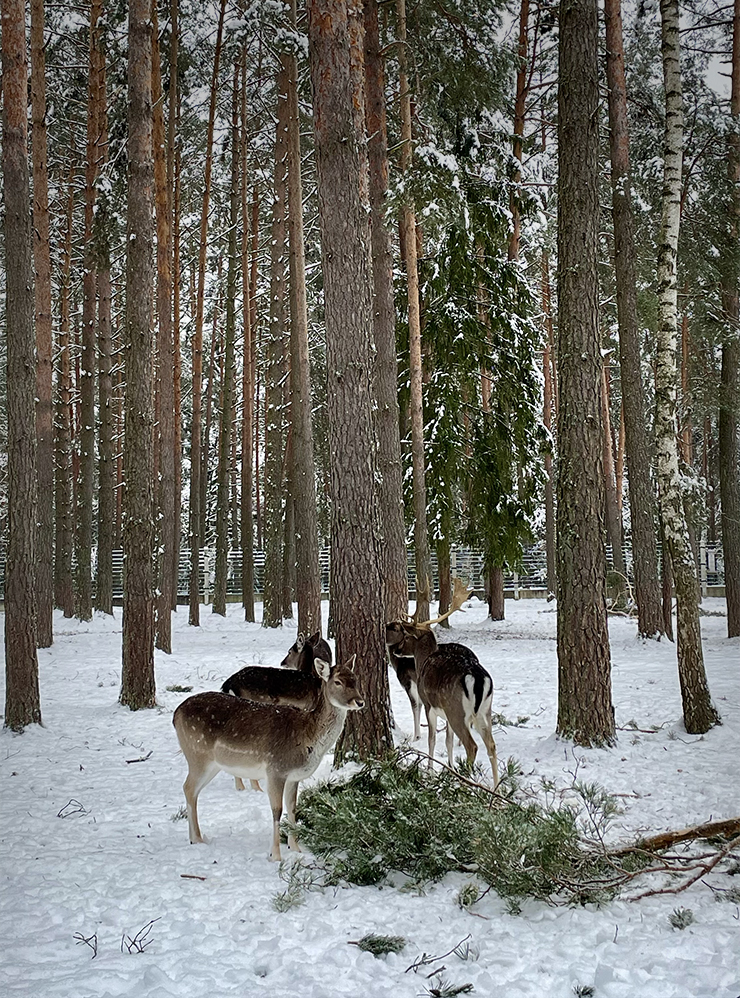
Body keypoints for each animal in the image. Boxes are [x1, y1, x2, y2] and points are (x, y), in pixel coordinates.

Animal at [171, 656, 362, 860]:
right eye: (338, 682)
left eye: (355, 679)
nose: (360, 701)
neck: (307, 737)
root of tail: (175, 714)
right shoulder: (276, 769)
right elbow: (277, 811)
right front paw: (275, 856)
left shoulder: (294, 776)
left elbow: (292, 808)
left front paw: (296, 850)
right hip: (198, 754)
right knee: (188, 787)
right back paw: (198, 838)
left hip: (212, 763)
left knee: (192, 791)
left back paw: (194, 838)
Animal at [384, 584, 500, 792]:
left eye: (406, 635)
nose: (397, 650)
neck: (422, 662)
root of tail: (478, 677)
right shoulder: (444, 713)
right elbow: (448, 741)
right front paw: (450, 768)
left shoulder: (429, 703)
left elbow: (432, 739)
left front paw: (430, 770)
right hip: (484, 710)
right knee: (491, 745)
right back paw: (497, 789)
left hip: (456, 709)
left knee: (472, 746)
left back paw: (465, 784)